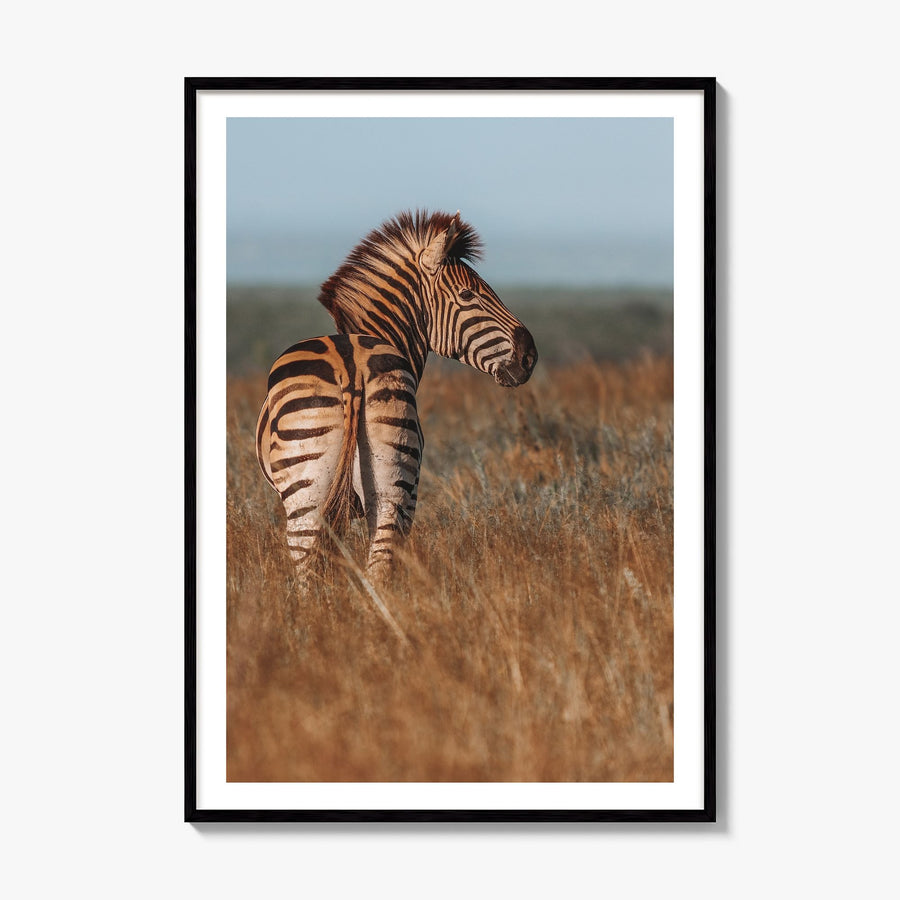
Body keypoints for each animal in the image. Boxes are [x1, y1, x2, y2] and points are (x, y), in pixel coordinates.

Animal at [256, 210, 537, 583]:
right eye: (467, 295)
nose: (529, 356)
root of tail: (352, 368)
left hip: (319, 492)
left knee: (316, 568)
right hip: (388, 485)